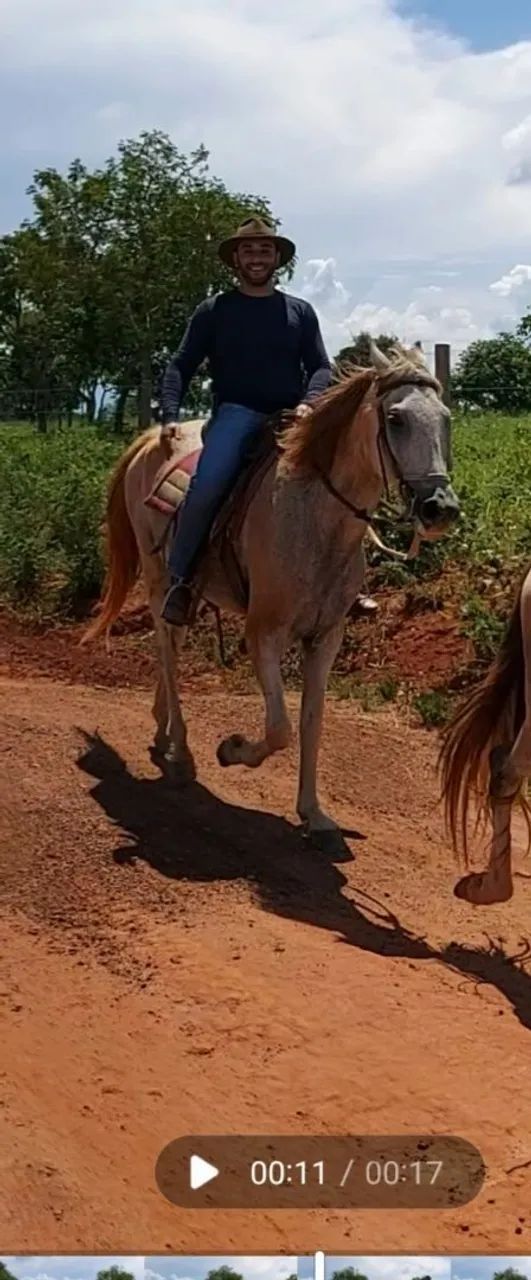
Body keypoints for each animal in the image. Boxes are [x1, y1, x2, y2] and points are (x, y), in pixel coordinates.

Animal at [83, 342, 459, 856]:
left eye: (445, 418)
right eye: (396, 419)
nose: (440, 509)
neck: (315, 518)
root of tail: (151, 441)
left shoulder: (326, 637)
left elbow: (311, 724)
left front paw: (315, 816)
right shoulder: (263, 633)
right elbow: (279, 729)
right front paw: (231, 749)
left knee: (171, 647)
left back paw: (163, 730)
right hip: (160, 580)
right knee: (165, 647)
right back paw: (181, 750)